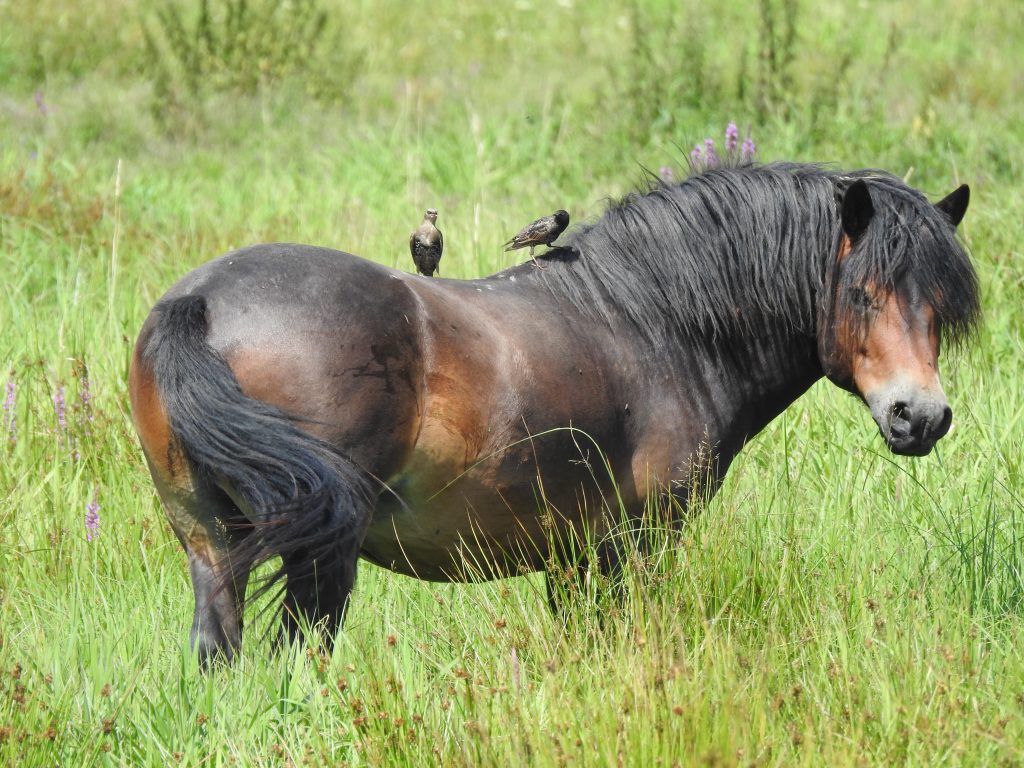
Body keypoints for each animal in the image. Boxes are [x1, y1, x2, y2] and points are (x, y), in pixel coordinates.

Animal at [128, 160, 974, 663]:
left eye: (939, 302)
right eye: (862, 295)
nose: (921, 417)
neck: (656, 320)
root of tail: (199, 303)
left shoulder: (573, 555)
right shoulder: (634, 544)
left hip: (211, 543)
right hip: (317, 552)